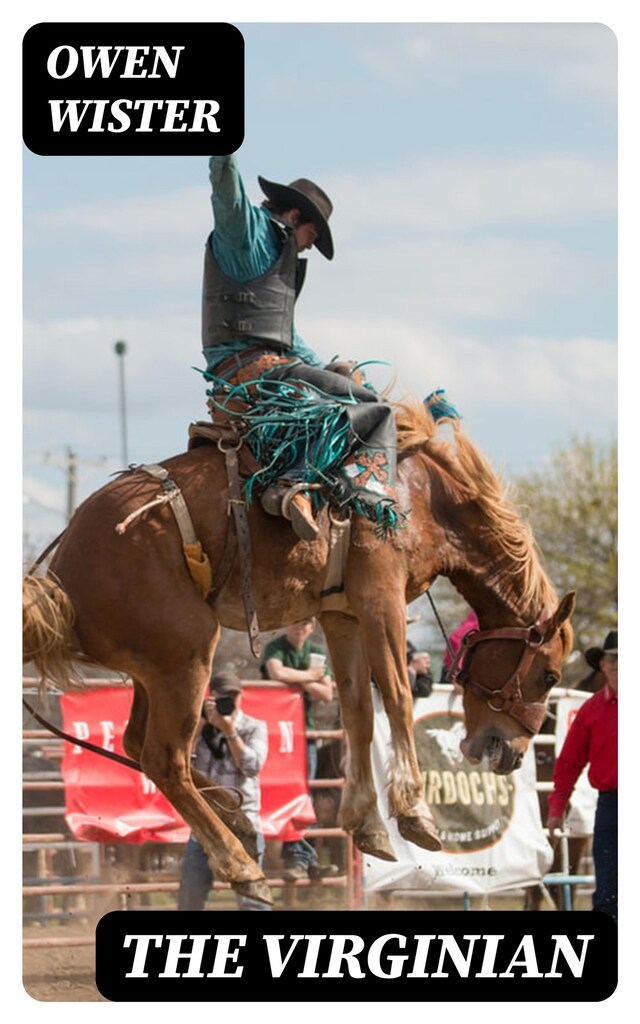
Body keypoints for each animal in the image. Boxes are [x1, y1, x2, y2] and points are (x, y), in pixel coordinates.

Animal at [23, 399, 573, 905]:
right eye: (549, 675)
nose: (513, 753)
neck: (425, 498)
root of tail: (61, 574)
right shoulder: (381, 595)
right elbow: (396, 694)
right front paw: (414, 814)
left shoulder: (341, 612)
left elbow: (357, 710)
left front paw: (368, 825)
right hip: (188, 650)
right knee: (164, 756)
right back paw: (243, 866)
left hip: (153, 667)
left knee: (137, 742)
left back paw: (235, 813)